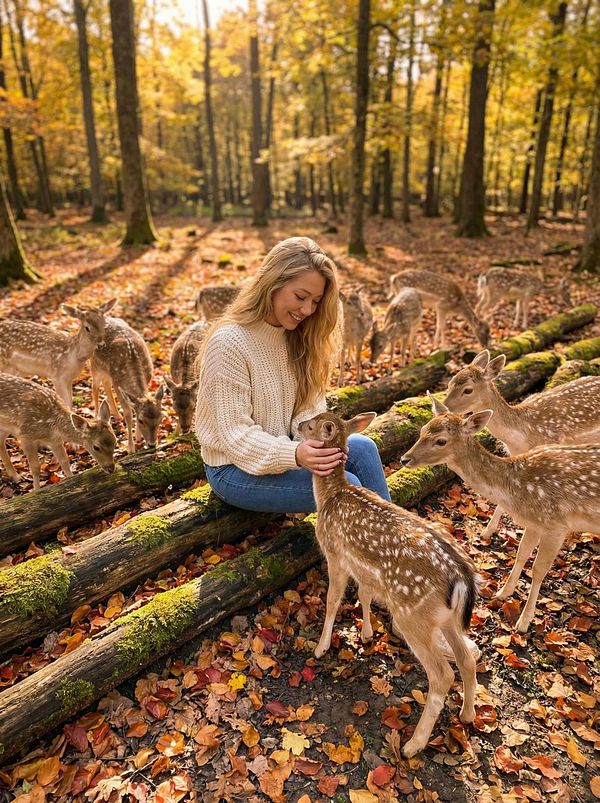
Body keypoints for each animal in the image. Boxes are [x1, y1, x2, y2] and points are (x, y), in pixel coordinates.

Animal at [91, 316, 164, 453]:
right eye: (141, 420)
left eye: (160, 418)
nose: (152, 444)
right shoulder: (118, 385)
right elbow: (128, 414)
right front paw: (131, 448)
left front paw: (138, 438)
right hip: (95, 365)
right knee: (95, 388)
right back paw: (97, 416)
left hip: (107, 372)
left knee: (106, 384)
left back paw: (117, 416)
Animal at [298, 411, 478, 757]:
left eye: (313, 423)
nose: (297, 425)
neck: (329, 498)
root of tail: (461, 578)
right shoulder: (364, 570)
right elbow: (365, 595)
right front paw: (367, 635)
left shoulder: (336, 554)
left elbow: (332, 601)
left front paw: (321, 647)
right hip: (446, 619)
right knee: (466, 658)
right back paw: (467, 714)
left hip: (414, 615)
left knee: (442, 675)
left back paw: (413, 745)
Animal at [401, 394, 600, 634]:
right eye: (423, 429)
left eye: (441, 440)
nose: (404, 459)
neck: (515, 491)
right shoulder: (534, 523)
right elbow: (521, 554)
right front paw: (503, 593)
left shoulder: (555, 525)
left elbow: (538, 570)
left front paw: (523, 622)